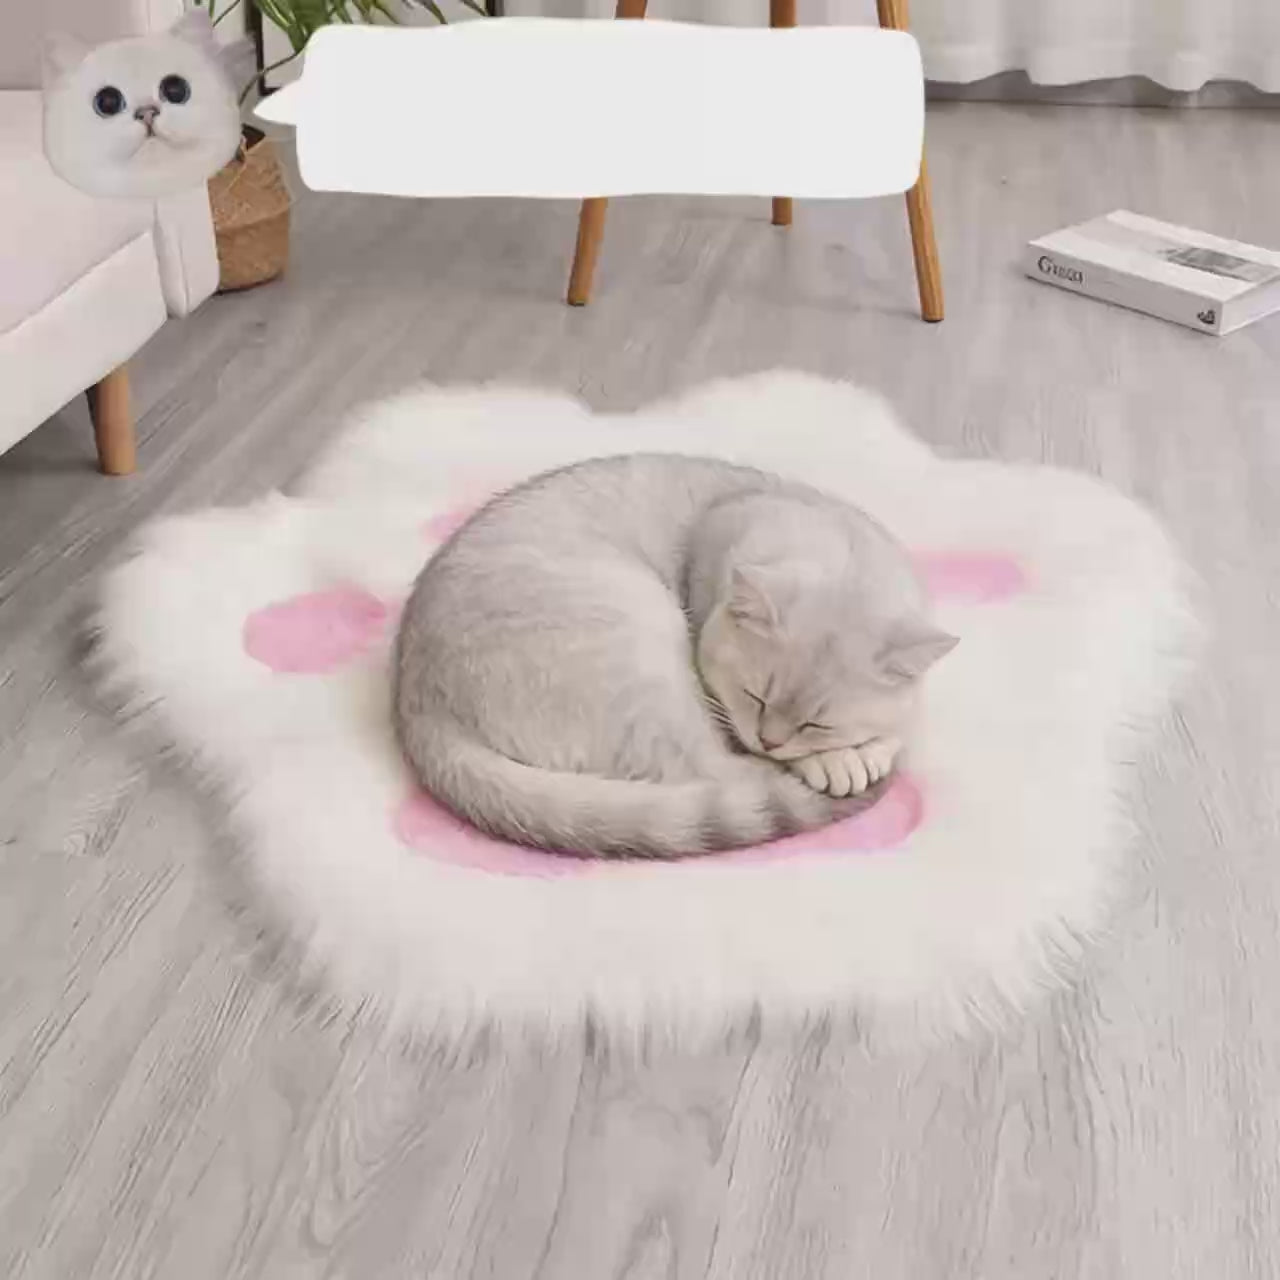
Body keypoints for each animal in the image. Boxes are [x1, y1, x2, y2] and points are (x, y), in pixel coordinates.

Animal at [393, 453, 957, 860]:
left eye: (817, 723)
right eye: (754, 697)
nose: (771, 740)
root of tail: (418, 704)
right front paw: (845, 759)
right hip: (639, 650)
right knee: (718, 771)